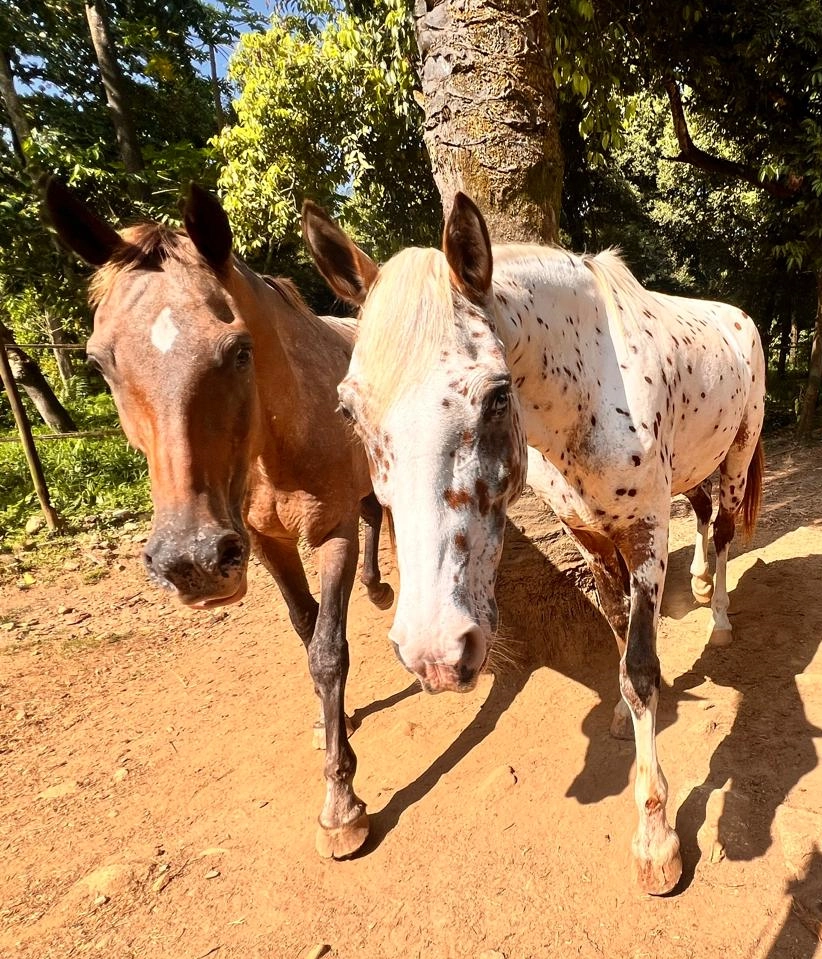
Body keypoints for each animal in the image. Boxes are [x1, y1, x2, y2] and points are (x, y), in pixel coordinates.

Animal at [44, 178, 394, 861]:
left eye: (238, 350)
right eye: (100, 363)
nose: (192, 563)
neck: (281, 433)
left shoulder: (330, 533)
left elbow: (328, 650)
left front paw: (341, 805)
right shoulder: (264, 541)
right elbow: (305, 629)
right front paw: (330, 725)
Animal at [301, 192, 765, 894]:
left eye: (498, 395)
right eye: (348, 411)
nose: (435, 652)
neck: (591, 389)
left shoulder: (646, 533)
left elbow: (641, 669)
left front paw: (656, 840)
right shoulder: (591, 535)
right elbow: (617, 632)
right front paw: (617, 720)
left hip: (736, 459)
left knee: (724, 531)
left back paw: (721, 623)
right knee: (707, 520)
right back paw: (703, 590)